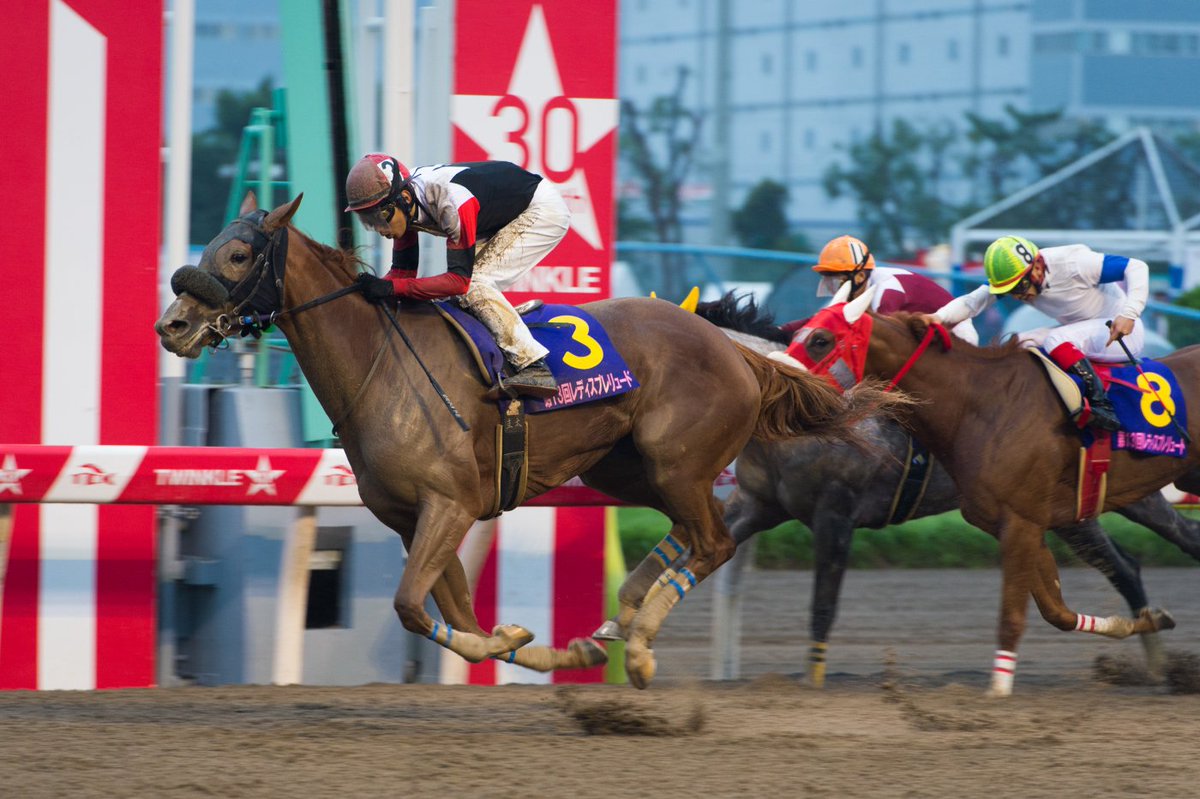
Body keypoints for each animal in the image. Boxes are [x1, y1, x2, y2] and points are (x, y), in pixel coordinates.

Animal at [154, 194, 897, 689]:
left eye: (239, 253)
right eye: (208, 246)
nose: (173, 325)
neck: (380, 362)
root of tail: (738, 352)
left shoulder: (449, 503)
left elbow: (413, 607)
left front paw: (534, 643)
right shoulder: (416, 516)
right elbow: (454, 613)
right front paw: (551, 649)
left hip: (678, 464)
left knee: (712, 542)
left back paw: (641, 645)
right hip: (627, 471)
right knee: (691, 537)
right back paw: (619, 623)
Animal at [696, 292, 1200, 687]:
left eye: (821, 340)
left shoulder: (835, 514)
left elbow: (823, 606)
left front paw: (813, 683)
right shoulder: (755, 504)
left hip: (1105, 503)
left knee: (1151, 554)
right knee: (1129, 566)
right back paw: (1155, 659)